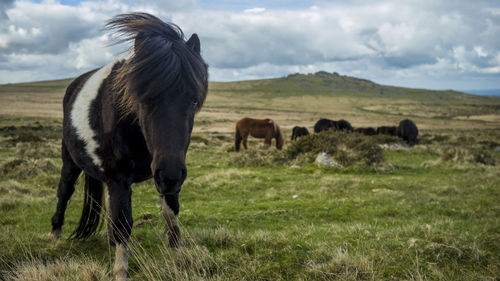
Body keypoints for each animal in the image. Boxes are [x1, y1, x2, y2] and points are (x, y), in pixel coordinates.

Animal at [49, 12, 208, 278]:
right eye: (144, 99)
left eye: (194, 99)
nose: (170, 176)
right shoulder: (120, 176)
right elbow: (123, 222)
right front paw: (120, 271)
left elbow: (170, 211)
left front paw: (177, 255)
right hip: (70, 161)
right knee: (65, 191)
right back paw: (55, 233)